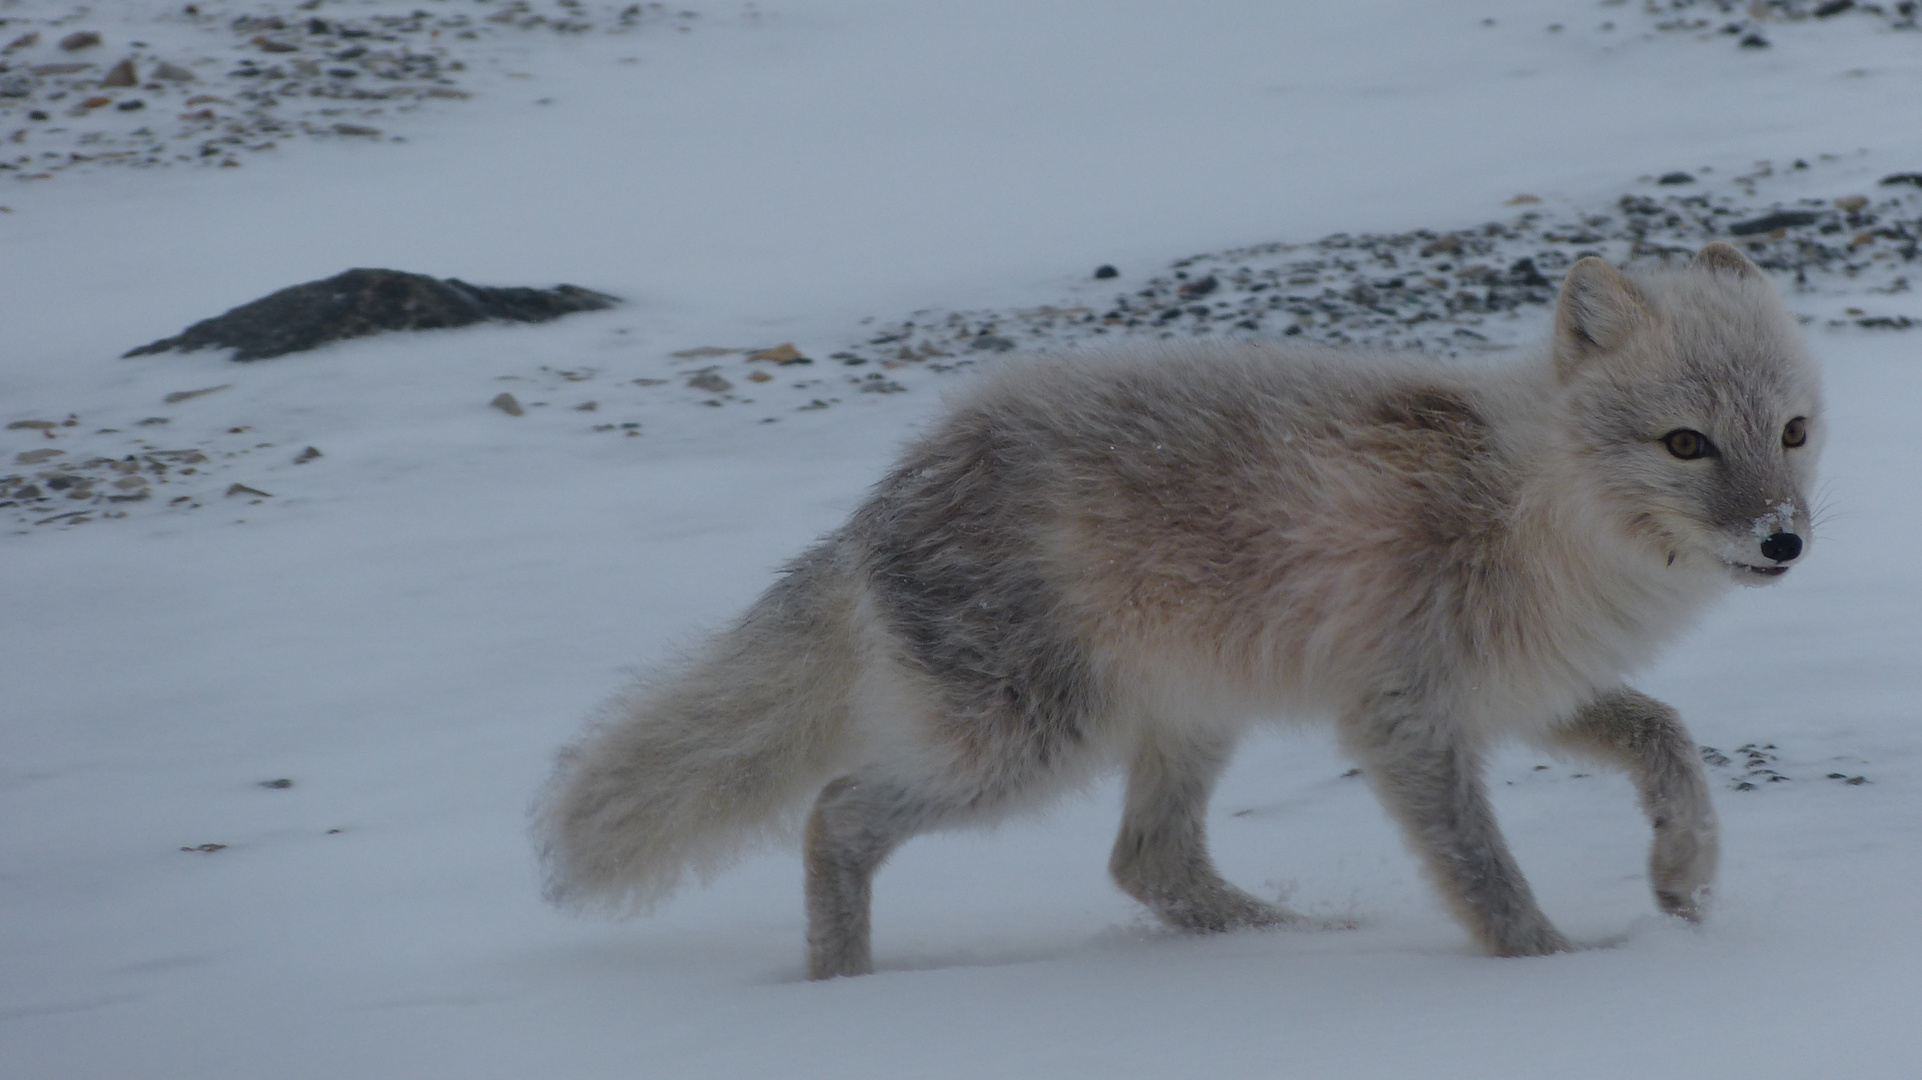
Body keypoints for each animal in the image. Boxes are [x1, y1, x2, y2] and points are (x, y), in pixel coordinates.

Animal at [534, 242, 1822, 976]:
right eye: (1685, 443)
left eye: (1792, 431)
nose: (1783, 541)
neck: (1534, 508)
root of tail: (882, 496)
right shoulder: (1404, 719)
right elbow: (1486, 878)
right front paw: (1555, 977)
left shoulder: (1521, 691)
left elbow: (1666, 737)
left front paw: (1681, 878)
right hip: (1028, 746)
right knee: (836, 816)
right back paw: (838, 992)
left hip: (1187, 720)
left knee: (1146, 864)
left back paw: (1304, 939)